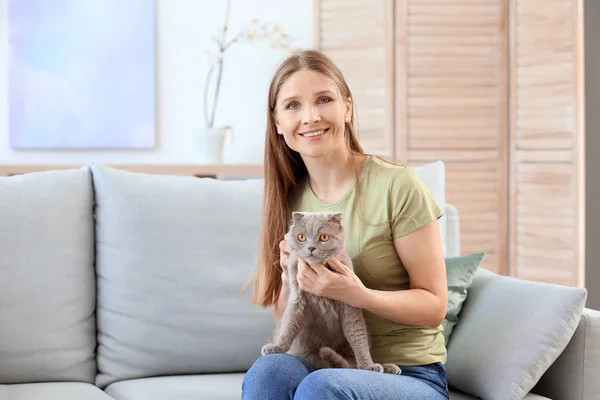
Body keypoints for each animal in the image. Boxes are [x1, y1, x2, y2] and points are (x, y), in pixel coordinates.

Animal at [260, 212, 400, 376]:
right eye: (301, 237)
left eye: (324, 237)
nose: (311, 247)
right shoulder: (297, 298)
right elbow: (289, 325)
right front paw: (277, 347)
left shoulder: (350, 304)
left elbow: (357, 335)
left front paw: (368, 365)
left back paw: (386, 367)